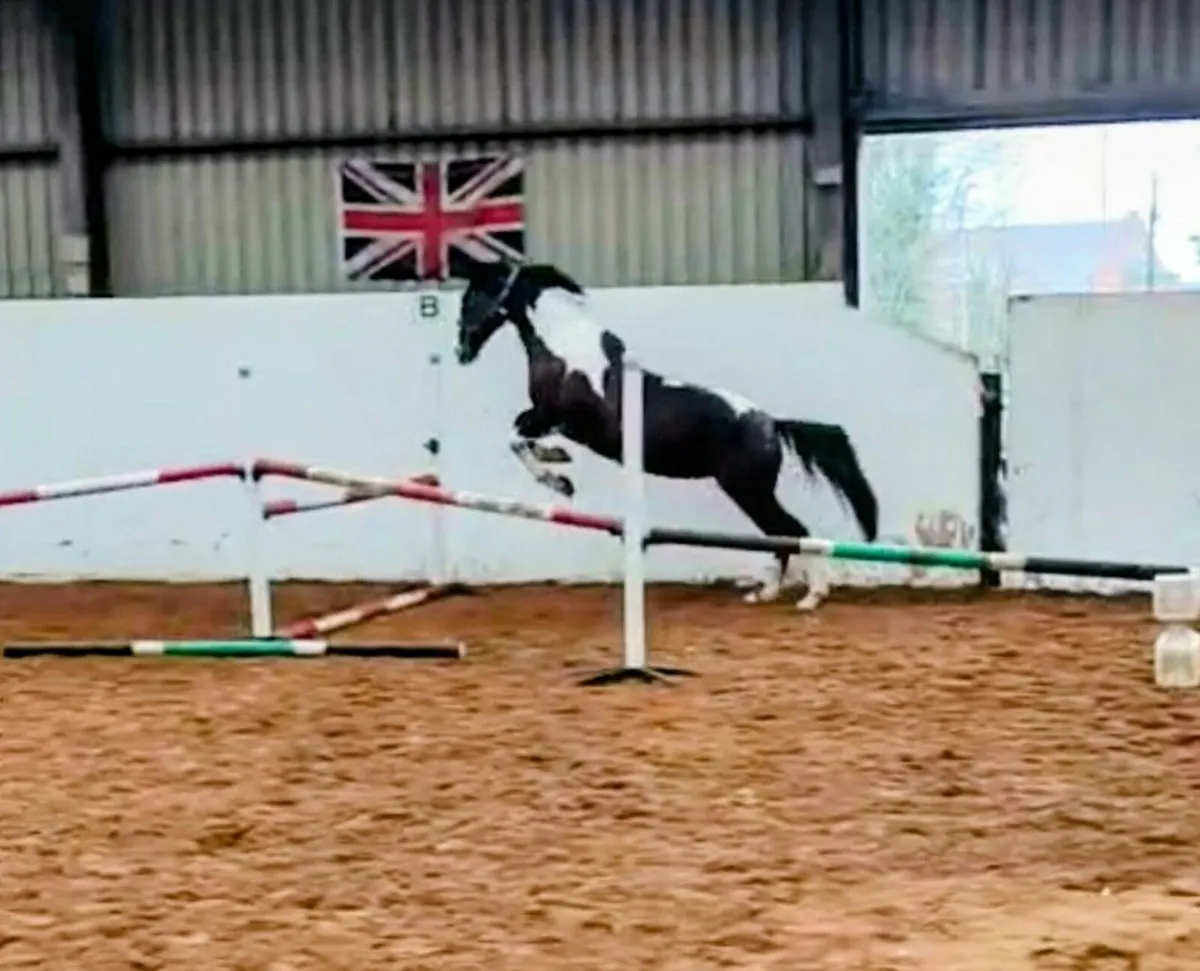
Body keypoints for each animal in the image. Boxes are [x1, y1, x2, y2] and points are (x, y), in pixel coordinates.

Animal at [452, 258, 879, 610]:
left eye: (472, 297)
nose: (461, 351)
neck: (567, 351)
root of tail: (771, 422)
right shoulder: (550, 419)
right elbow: (518, 435)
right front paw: (558, 468)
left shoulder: (560, 420)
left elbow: (516, 437)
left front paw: (558, 476)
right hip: (752, 492)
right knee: (782, 536)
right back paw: (766, 593)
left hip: (748, 490)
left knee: (794, 532)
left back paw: (810, 596)